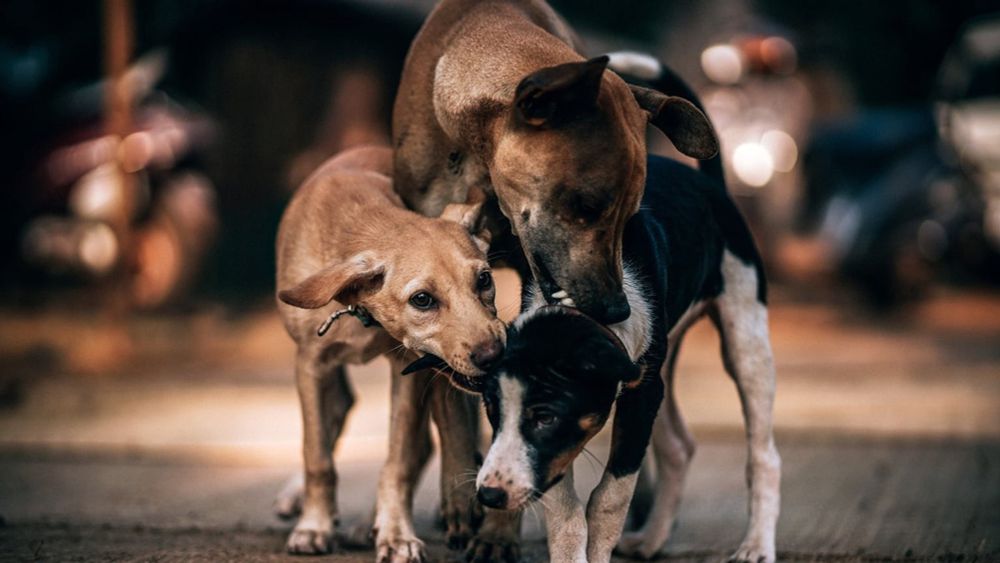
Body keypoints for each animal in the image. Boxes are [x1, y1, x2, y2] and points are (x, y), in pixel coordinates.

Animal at [276, 145, 508, 560]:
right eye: (422, 299)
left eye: (484, 279)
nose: (493, 355)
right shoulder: (311, 364)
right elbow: (317, 454)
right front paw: (314, 526)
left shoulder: (408, 368)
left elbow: (398, 462)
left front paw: (396, 534)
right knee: (338, 412)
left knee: (419, 447)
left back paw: (371, 523)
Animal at [452, 56, 780, 563]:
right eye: (492, 410)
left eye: (544, 416)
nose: (489, 495)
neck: (586, 311)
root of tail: (708, 183)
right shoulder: (626, 397)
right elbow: (565, 512)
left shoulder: (642, 392)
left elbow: (609, 498)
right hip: (668, 356)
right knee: (679, 447)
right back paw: (651, 538)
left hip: (746, 338)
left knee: (763, 456)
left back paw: (756, 545)